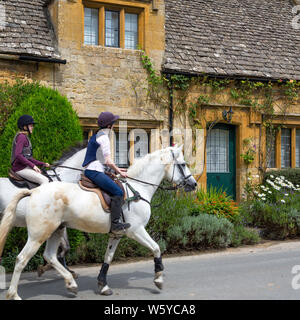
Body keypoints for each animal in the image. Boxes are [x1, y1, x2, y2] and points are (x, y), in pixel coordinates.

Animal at [0, 145, 197, 300]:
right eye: (183, 164)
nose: (194, 184)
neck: (138, 188)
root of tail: (34, 192)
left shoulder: (117, 234)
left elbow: (107, 258)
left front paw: (103, 286)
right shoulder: (137, 230)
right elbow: (156, 248)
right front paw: (158, 278)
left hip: (56, 230)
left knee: (50, 256)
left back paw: (71, 283)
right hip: (39, 234)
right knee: (22, 259)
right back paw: (14, 294)